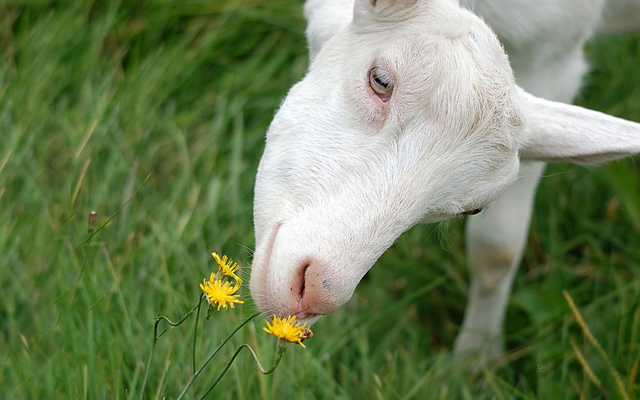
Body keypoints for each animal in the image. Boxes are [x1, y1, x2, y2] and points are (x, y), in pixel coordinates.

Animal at [249, 0, 640, 360]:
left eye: (472, 210)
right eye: (380, 80)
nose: (316, 292)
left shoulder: (554, 57)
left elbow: (497, 251)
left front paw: (475, 360)